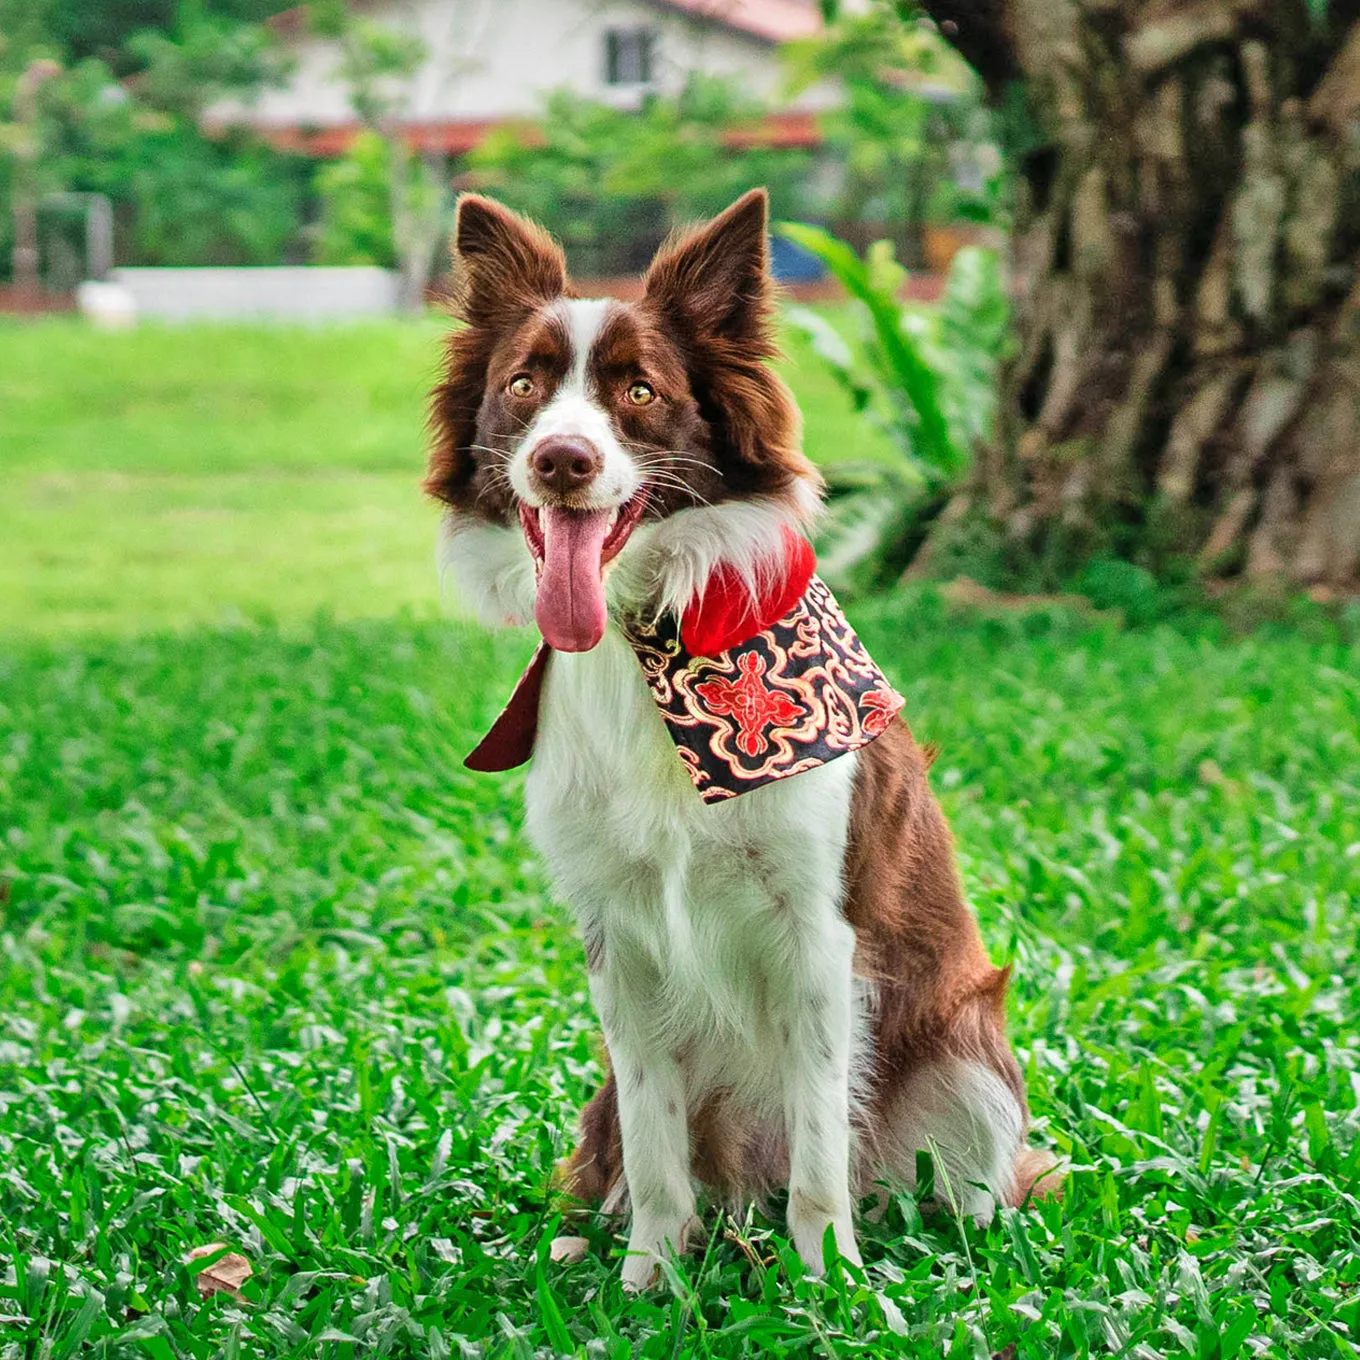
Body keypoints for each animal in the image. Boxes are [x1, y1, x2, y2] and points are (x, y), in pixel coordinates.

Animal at [429, 189, 1044, 1283]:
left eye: (639, 390)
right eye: (522, 387)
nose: (560, 460)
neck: (652, 633)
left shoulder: (820, 933)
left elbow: (819, 1144)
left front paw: (829, 1283)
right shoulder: (617, 937)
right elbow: (657, 1147)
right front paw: (648, 1279)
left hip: (968, 1047)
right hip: (603, 1108)